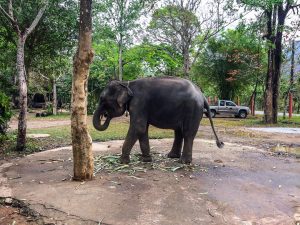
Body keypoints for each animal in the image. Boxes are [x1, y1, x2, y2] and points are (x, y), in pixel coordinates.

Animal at [92, 77, 224, 163]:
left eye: (102, 99)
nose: (105, 115)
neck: (126, 83)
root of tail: (202, 95)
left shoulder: (139, 103)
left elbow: (138, 127)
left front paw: (122, 161)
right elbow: (142, 129)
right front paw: (145, 159)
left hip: (193, 109)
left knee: (187, 133)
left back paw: (183, 162)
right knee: (179, 132)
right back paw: (172, 156)